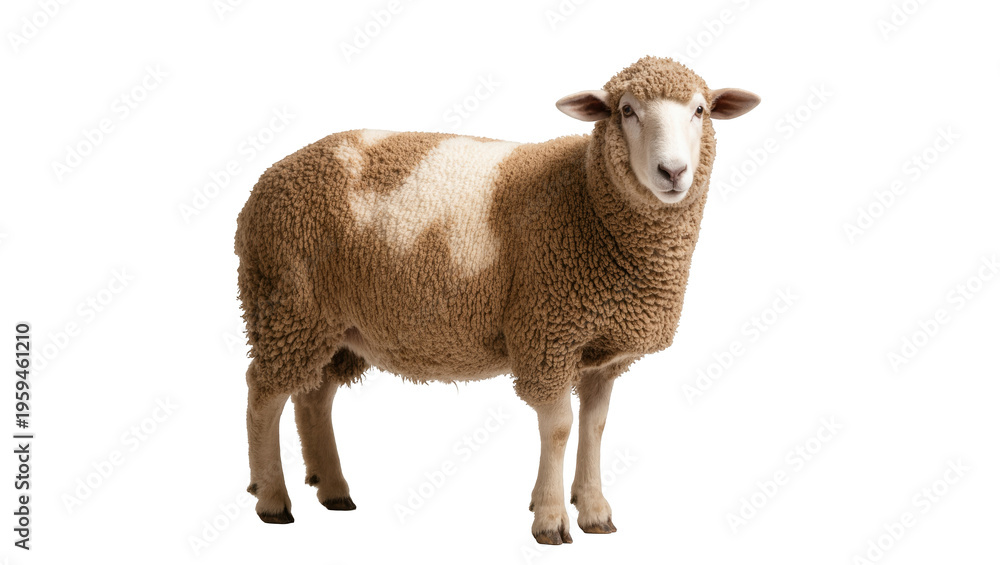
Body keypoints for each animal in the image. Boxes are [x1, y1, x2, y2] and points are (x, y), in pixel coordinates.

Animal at [235, 56, 759, 544]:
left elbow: (595, 426)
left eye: (700, 110)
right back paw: (272, 498)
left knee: (313, 397)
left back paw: (333, 489)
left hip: (334, 324)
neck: (588, 201)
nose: (673, 171)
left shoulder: (601, 352)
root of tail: (269, 177)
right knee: (264, 395)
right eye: (626, 111)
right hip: (287, 304)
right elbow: (559, 427)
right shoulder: (547, 332)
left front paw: (594, 511)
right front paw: (550, 519)